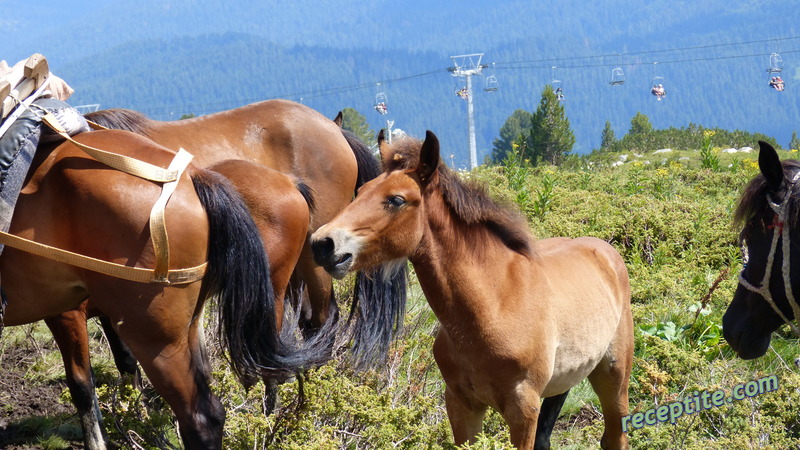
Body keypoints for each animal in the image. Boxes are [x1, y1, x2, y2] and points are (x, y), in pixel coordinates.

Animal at [1, 128, 332, 448]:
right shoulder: (106, 316)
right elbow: (126, 367)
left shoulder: (67, 313)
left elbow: (83, 385)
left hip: (172, 330)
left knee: (218, 407)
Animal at [310, 132, 632, 448]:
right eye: (362, 189)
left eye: (396, 199)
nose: (322, 243)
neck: (494, 305)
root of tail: (604, 249)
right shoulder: (461, 404)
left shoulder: (523, 408)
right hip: (562, 384)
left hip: (613, 376)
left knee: (615, 436)